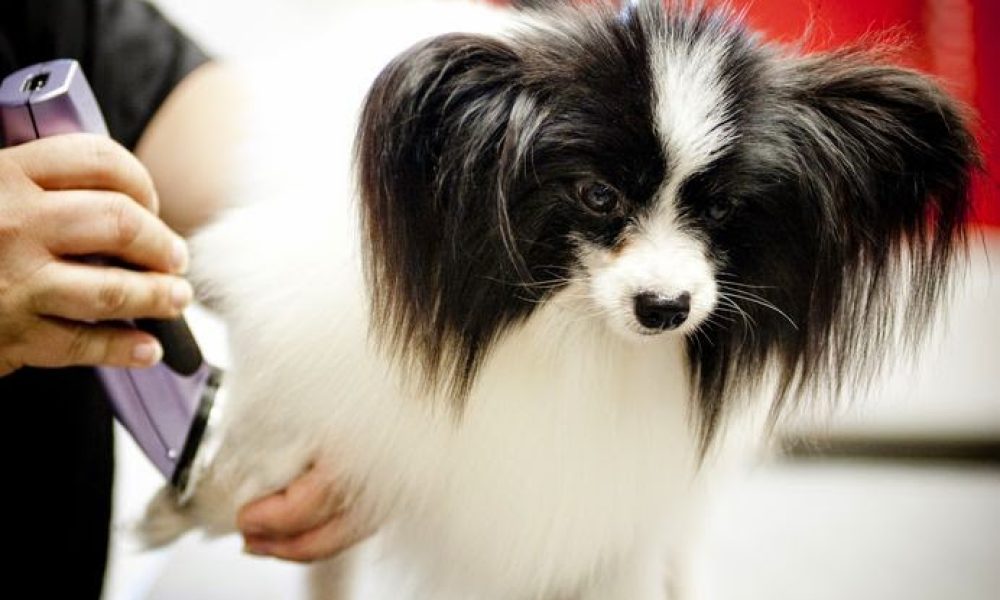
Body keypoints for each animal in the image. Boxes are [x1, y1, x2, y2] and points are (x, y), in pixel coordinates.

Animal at [141, 1, 978, 598]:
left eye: (721, 211)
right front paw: (181, 506)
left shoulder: (617, 529)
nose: (666, 308)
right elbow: (269, 438)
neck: (570, 334)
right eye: (598, 196)